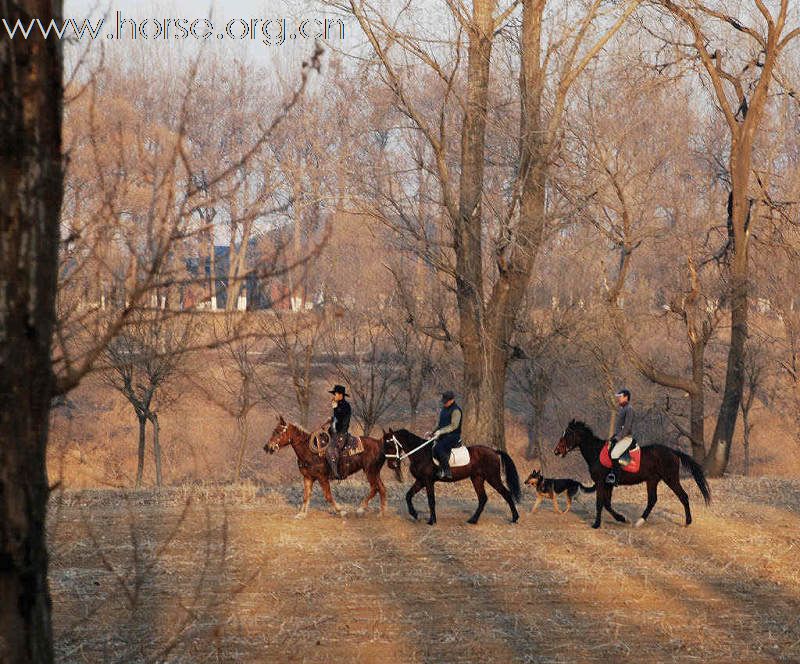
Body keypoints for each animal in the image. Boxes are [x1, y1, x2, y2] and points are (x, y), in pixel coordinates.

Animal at [382, 428, 520, 528]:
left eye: (390, 445)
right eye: (385, 445)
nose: (391, 465)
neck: (421, 454)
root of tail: (494, 451)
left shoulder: (428, 481)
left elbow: (431, 500)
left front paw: (432, 521)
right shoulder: (420, 481)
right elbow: (408, 495)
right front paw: (414, 514)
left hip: (493, 478)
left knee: (506, 494)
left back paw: (514, 518)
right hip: (477, 478)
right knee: (483, 498)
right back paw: (473, 520)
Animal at [552, 420, 708, 528]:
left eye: (568, 434)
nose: (556, 451)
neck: (595, 452)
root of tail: (673, 452)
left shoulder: (601, 482)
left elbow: (600, 503)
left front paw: (596, 524)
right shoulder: (608, 484)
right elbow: (607, 504)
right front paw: (622, 518)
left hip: (670, 479)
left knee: (683, 496)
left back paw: (687, 522)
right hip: (652, 480)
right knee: (652, 500)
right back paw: (639, 521)